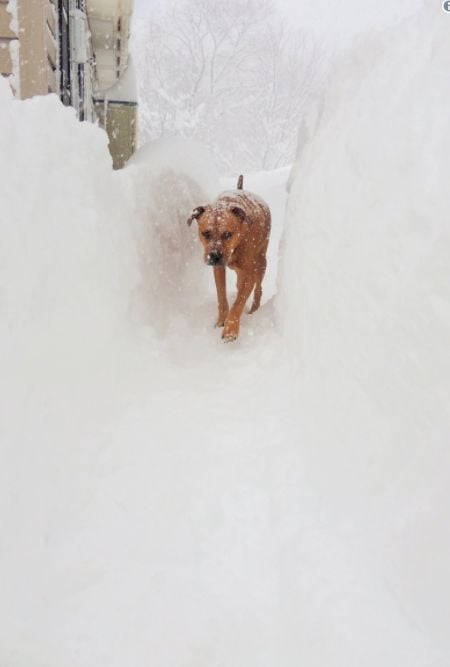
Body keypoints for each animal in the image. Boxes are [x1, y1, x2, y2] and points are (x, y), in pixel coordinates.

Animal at [187, 175, 270, 342]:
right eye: (206, 233)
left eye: (227, 234)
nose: (213, 256)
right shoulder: (218, 269)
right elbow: (221, 295)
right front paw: (221, 321)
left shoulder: (250, 272)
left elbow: (239, 301)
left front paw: (231, 328)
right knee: (239, 282)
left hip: (261, 262)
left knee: (258, 288)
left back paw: (254, 309)